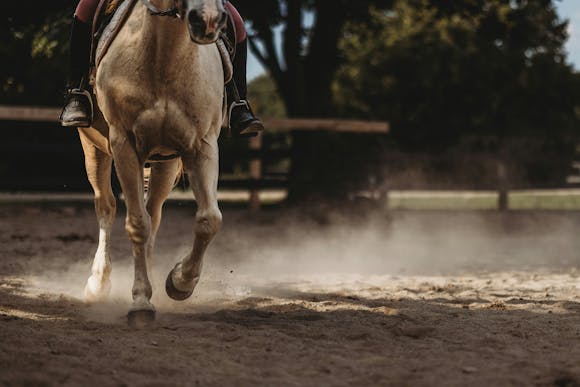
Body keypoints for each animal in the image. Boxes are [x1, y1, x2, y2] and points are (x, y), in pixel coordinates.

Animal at [78, 0, 228, 328]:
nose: (208, 20)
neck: (165, 54)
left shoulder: (202, 145)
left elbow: (208, 220)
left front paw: (179, 282)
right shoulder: (123, 145)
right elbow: (136, 224)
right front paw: (140, 303)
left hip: (165, 165)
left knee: (154, 214)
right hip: (93, 148)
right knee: (106, 207)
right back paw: (97, 283)